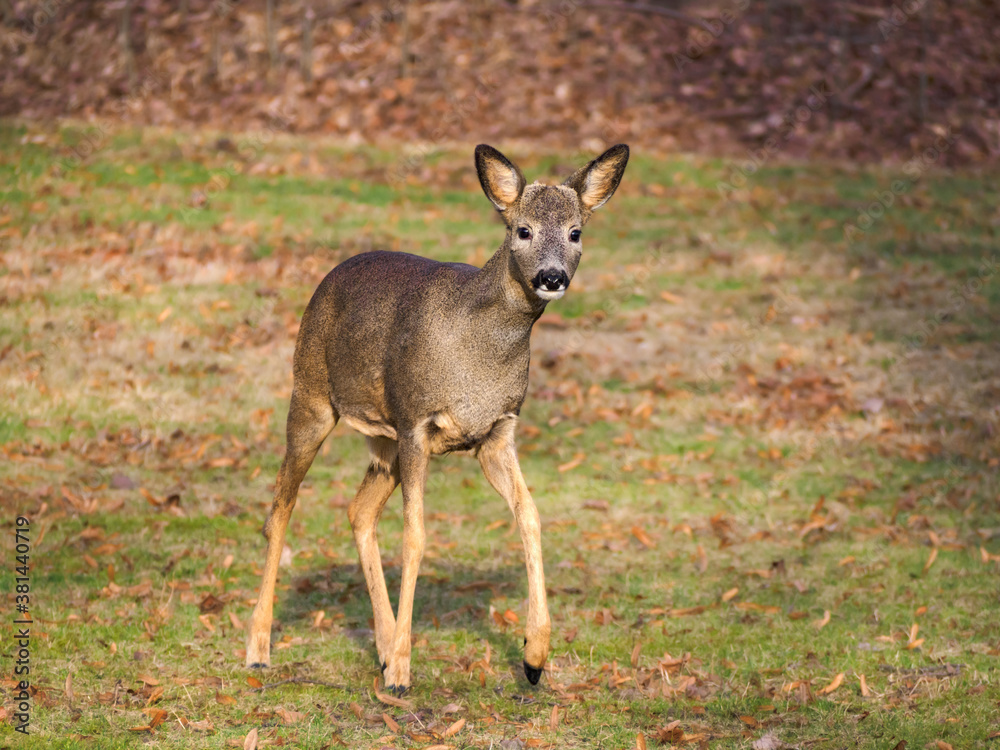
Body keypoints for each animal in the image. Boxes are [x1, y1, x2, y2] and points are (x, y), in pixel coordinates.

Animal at [245, 143, 630, 693]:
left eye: (576, 232)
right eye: (523, 230)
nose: (552, 276)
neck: (479, 351)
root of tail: (328, 275)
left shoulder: (495, 434)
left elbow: (530, 514)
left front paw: (535, 656)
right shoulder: (416, 424)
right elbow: (416, 537)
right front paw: (404, 672)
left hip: (382, 438)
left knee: (358, 510)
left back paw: (382, 647)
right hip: (312, 396)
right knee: (280, 509)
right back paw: (260, 649)